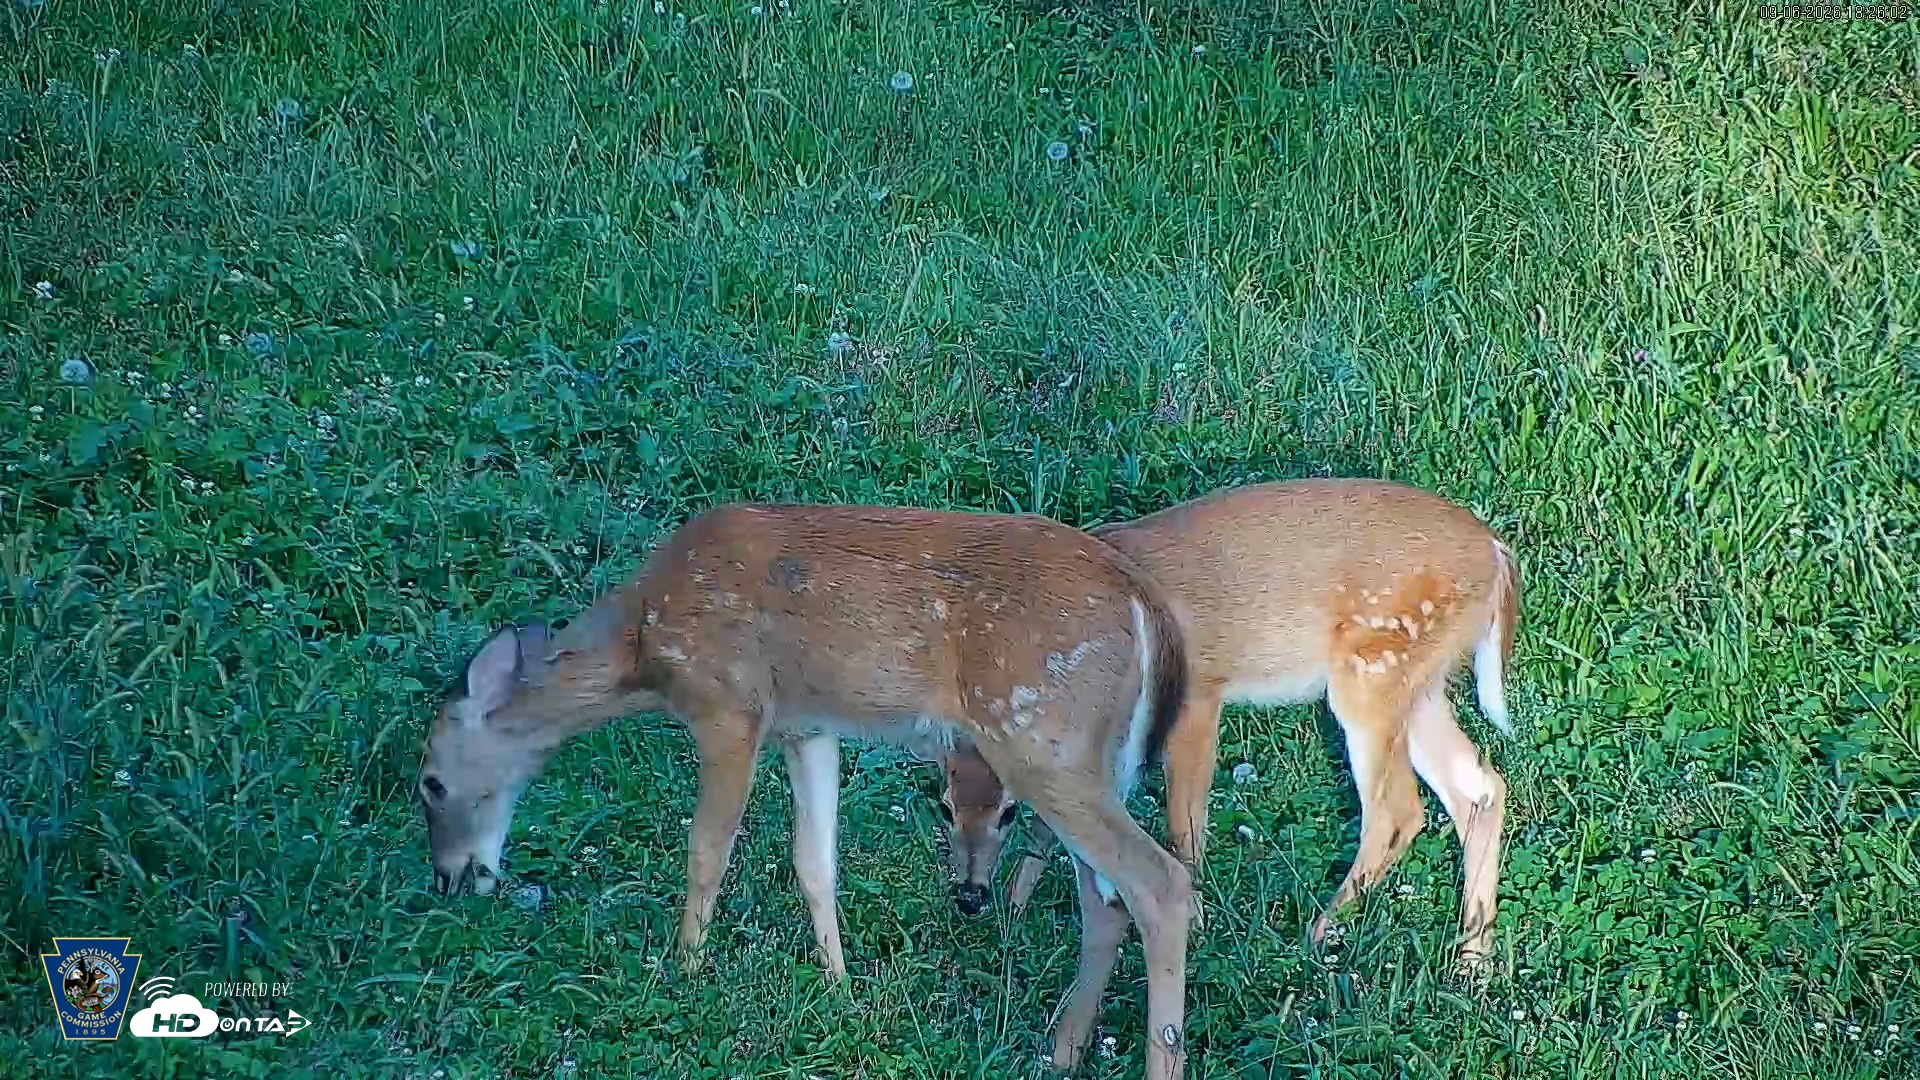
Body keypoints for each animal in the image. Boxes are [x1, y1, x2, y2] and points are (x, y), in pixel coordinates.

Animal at [414, 502, 1197, 1079]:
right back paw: (1060, 1050)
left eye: (430, 782)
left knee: (1159, 882)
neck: (643, 645)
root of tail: (1149, 609)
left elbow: (707, 850)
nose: (449, 877)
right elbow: (815, 862)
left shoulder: (730, 705)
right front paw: (839, 987)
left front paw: (685, 974)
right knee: (1106, 901)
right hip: (1086, 759)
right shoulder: (807, 726)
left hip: (1039, 737)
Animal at [930, 478, 1520, 975]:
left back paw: (1321, 933)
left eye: (1007, 812)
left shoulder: (1197, 695)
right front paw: (1018, 905)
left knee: (1400, 809)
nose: (969, 896)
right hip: (1419, 684)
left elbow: (1182, 825)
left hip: (1372, 671)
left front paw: (1192, 919)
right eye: (944, 807)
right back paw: (1475, 960)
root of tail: (1496, 552)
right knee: (1479, 786)